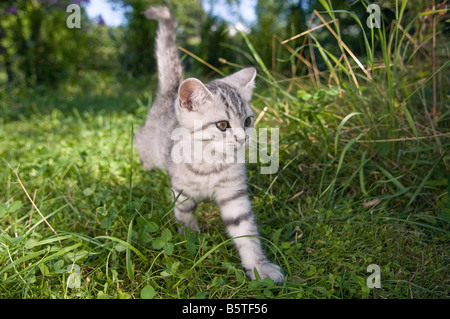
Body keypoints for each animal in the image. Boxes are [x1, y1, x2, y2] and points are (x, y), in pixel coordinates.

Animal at [135, 6, 284, 284]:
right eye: (223, 125)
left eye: (247, 121)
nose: (243, 138)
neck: (211, 161)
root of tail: (172, 90)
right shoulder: (181, 193)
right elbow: (185, 219)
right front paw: (192, 242)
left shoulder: (234, 194)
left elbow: (246, 232)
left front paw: (260, 267)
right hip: (149, 141)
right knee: (139, 136)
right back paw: (147, 166)